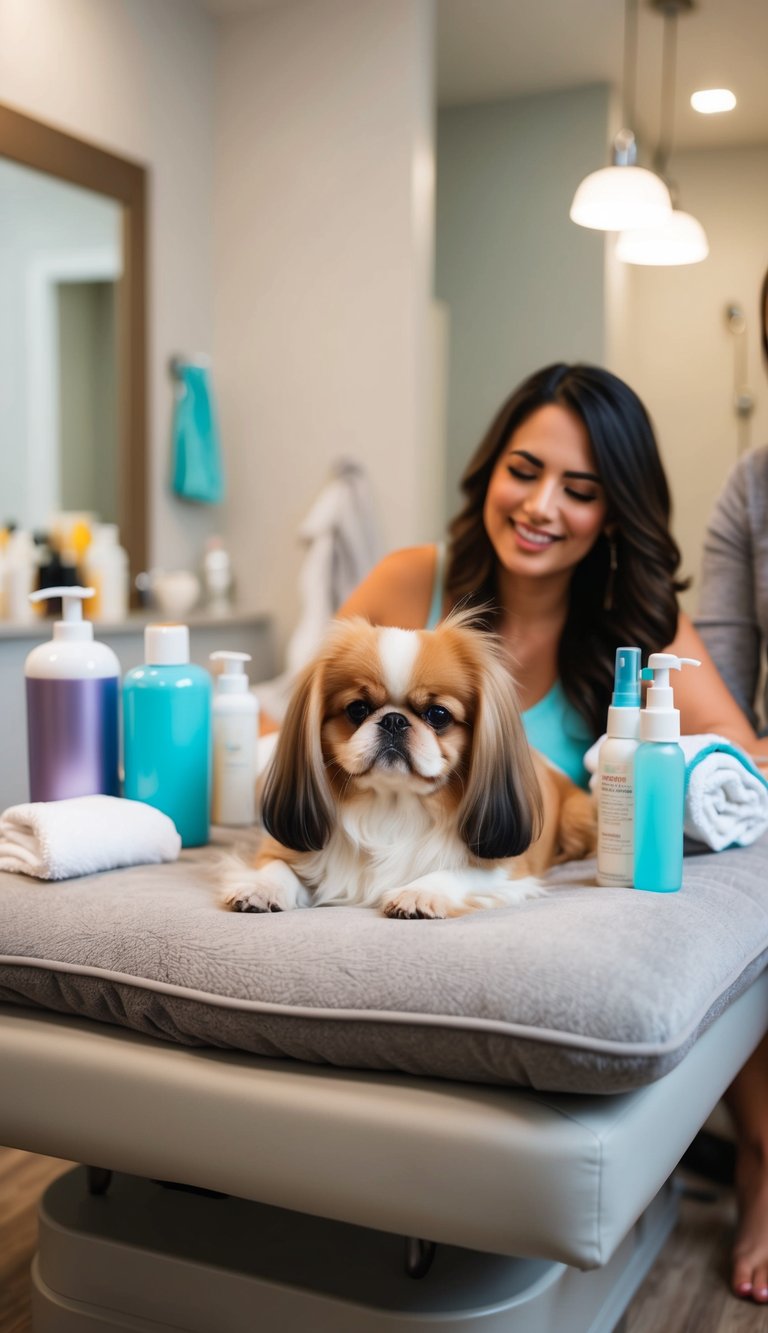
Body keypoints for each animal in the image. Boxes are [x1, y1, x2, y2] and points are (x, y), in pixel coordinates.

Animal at [222, 612, 596, 919]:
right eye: (357, 709)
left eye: (438, 714)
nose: (394, 720)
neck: (392, 806)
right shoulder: (288, 845)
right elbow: (277, 865)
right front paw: (262, 887)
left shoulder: (505, 867)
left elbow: (454, 873)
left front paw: (419, 893)